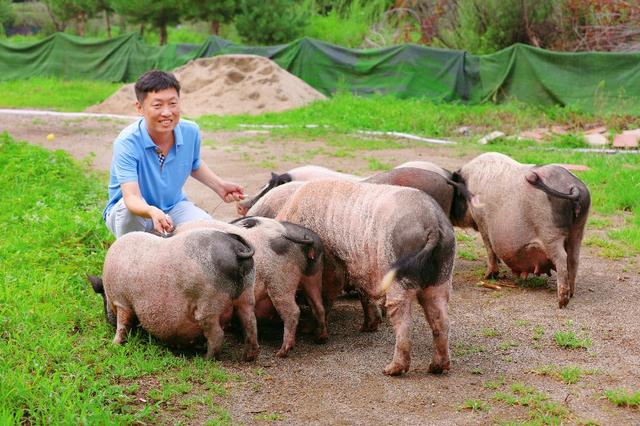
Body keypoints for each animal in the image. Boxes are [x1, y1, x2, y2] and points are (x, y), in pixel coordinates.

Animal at [89, 228, 258, 362]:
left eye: (102, 297)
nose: (107, 322)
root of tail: (236, 250)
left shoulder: (122, 301)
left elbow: (122, 324)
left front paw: (114, 345)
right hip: (247, 292)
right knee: (250, 323)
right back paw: (248, 358)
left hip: (209, 304)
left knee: (217, 334)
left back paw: (205, 359)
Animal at [176, 216, 324, 356]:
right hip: (313, 275)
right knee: (318, 305)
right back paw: (319, 337)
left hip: (280, 281)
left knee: (293, 311)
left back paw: (281, 352)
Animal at [276, 180, 456, 376]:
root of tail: (432, 224)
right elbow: (364, 293)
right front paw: (367, 327)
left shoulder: (332, 263)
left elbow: (326, 296)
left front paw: (310, 330)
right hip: (441, 276)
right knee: (441, 318)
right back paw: (436, 367)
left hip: (398, 274)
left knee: (404, 319)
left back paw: (391, 370)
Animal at [450, 151, 592, 308]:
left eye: (455, 196)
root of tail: (573, 187)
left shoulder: (481, 220)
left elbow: (489, 248)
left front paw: (488, 276)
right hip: (578, 229)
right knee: (574, 259)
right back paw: (571, 294)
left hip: (550, 232)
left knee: (562, 258)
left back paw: (562, 302)